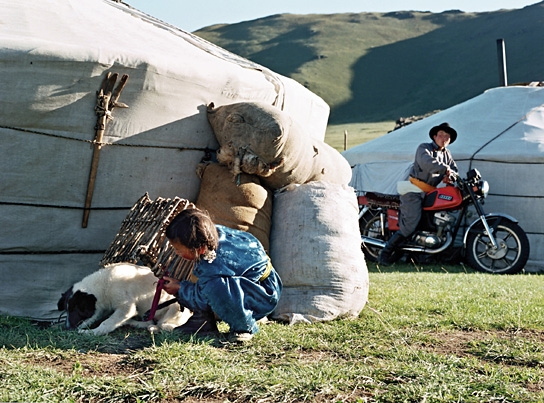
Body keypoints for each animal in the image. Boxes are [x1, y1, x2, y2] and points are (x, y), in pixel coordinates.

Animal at [57, 264, 189, 336]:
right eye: (67, 310)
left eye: (76, 310)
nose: (67, 328)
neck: (104, 283)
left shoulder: (126, 307)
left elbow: (107, 323)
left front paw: (92, 333)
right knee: (149, 322)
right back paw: (132, 323)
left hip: (175, 308)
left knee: (164, 325)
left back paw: (154, 328)